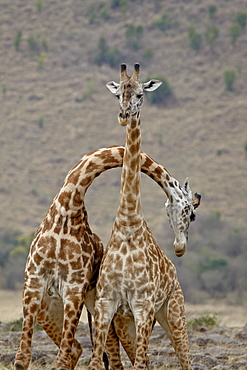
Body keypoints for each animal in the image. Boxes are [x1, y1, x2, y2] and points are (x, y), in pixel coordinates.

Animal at [13, 144, 201, 370]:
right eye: (191, 214)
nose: (180, 246)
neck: (67, 212)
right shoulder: (33, 281)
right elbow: (22, 359)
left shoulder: (75, 288)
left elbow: (60, 358)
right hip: (49, 308)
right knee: (79, 349)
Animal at [87, 64, 199, 370]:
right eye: (118, 95)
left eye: (140, 94)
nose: (124, 115)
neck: (128, 224)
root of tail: (174, 270)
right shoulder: (106, 304)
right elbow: (96, 362)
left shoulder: (143, 306)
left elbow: (139, 363)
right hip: (129, 322)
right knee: (147, 360)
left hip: (172, 311)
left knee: (184, 358)